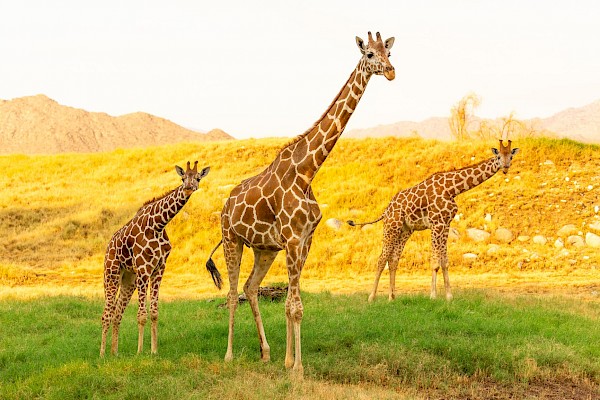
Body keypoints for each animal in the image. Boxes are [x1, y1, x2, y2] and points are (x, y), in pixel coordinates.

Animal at [99, 161, 210, 358]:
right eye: (183, 178)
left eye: (197, 178)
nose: (189, 188)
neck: (159, 224)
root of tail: (109, 246)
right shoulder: (144, 269)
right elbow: (142, 314)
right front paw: (139, 352)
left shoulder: (159, 268)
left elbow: (154, 312)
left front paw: (154, 350)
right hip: (111, 274)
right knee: (106, 314)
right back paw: (102, 354)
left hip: (129, 279)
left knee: (117, 313)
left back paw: (115, 353)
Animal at [204, 32, 396, 378]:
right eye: (370, 54)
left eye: (390, 52)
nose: (390, 72)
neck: (308, 170)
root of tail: (225, 206)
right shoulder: (293, 239)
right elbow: (294, 306)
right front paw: (299, 369)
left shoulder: (305, 240)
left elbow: (292, 304)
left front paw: (288, 361)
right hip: (231, 239)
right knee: (232, 293)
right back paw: (228, 356)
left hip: (264, 249)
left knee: (250, 288)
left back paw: (265, 353)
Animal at [346, 139, 520, 302]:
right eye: (498, 156)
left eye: (511, 156)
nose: (505, 167)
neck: (452, 189)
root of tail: (386, 210)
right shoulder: (436, 224)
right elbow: (435, 262)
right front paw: (433, 296)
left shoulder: (445, 224)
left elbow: (445, 262)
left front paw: (449, 296)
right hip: (391, 226)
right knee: (382, 259)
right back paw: (371, 297)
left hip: (405, 230)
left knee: (394, 260)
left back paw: (391, 297)